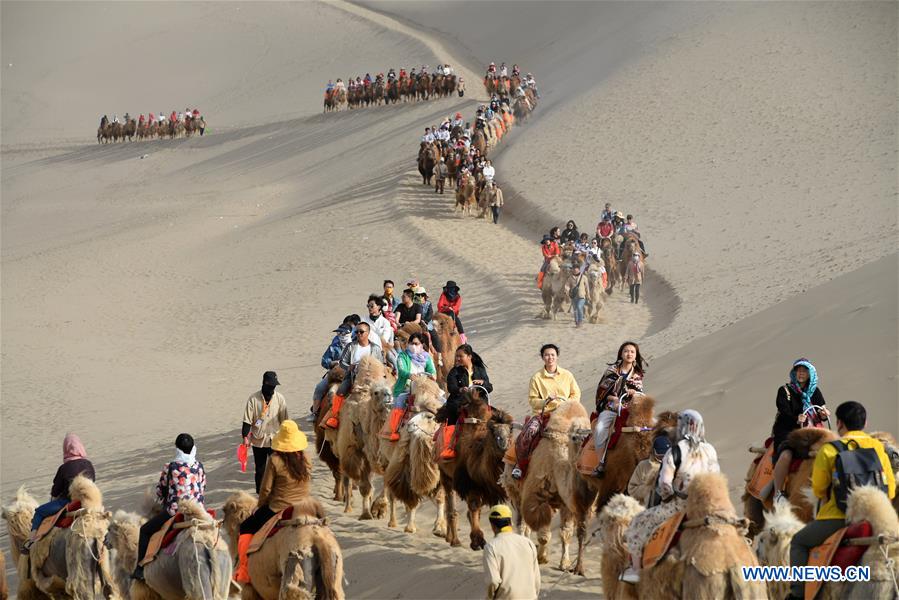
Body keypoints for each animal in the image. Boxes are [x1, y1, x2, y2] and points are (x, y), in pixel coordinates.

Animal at [384, 376, 446, 536]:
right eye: (414, 412)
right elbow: (410, 497)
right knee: (392, 491)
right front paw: (410, 527)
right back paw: (391, 521)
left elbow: (439, 498)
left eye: (429, 416)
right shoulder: (406, 468)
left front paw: (439, 527)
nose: (409, 425)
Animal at [438, 386, 512, 552]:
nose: (504, 444)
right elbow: (474, 506)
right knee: (451, 504)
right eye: (494, 433)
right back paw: (454, 540)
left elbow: (492, 510)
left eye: (509, 431)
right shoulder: (468, 482)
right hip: (445, 474)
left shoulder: (491, 488)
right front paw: (478, 540)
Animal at [502, 400, 600, 576]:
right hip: (514, 489)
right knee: (521, 521)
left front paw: (564, 563)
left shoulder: (566, 503)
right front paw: (541, 557)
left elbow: (565, 532)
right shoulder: (535, 495)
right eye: (575, 437)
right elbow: (543, 534)